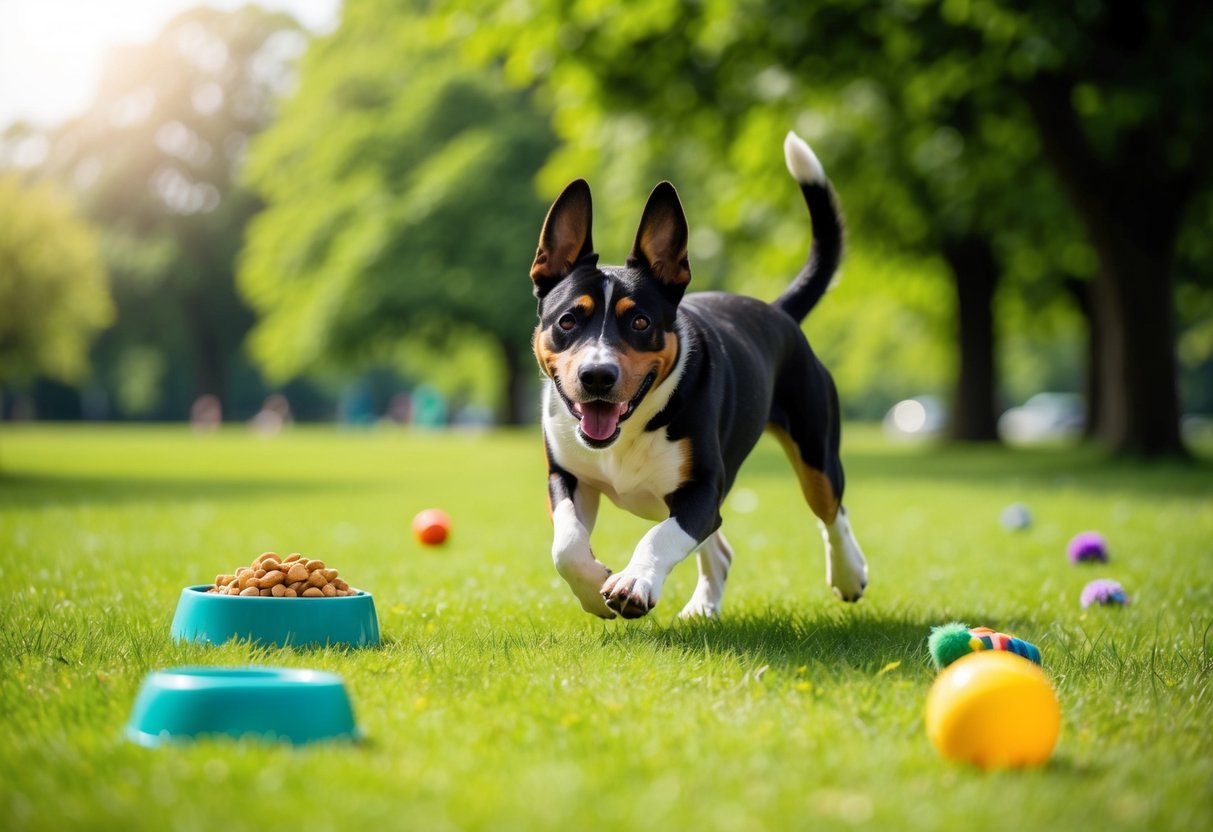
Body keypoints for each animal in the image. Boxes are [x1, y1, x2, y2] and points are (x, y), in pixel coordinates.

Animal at [528, 132, 863, 618]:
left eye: (641, 322)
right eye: (568, 320)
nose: (597, 376)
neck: (631, 428)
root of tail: (777, 312)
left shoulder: (702, 490)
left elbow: (663, 536)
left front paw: (633, 581)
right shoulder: (566, 476)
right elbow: (566, 546)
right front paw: (593, 587)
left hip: (815, 445)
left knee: (831, 508)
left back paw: (849, 573)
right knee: (719, 551)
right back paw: (704, 607)